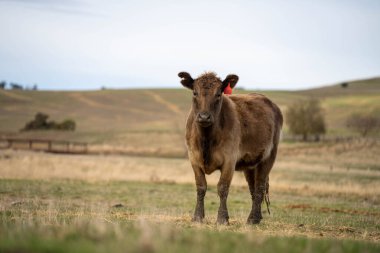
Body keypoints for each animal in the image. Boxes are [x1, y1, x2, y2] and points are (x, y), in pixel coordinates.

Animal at [178, 72, 282, 224]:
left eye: (218, 94)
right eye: (195, 92)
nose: (204, 117)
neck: (206, 139)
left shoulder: (229, 160)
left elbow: (222, 188)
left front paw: (222, 218)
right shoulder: (194, 159)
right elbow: (201, 187)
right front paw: (197, 217)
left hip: (269, 157)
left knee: (260, 187)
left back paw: (253, 219)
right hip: (250, 164)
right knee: (253, 188)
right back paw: (255, 217)